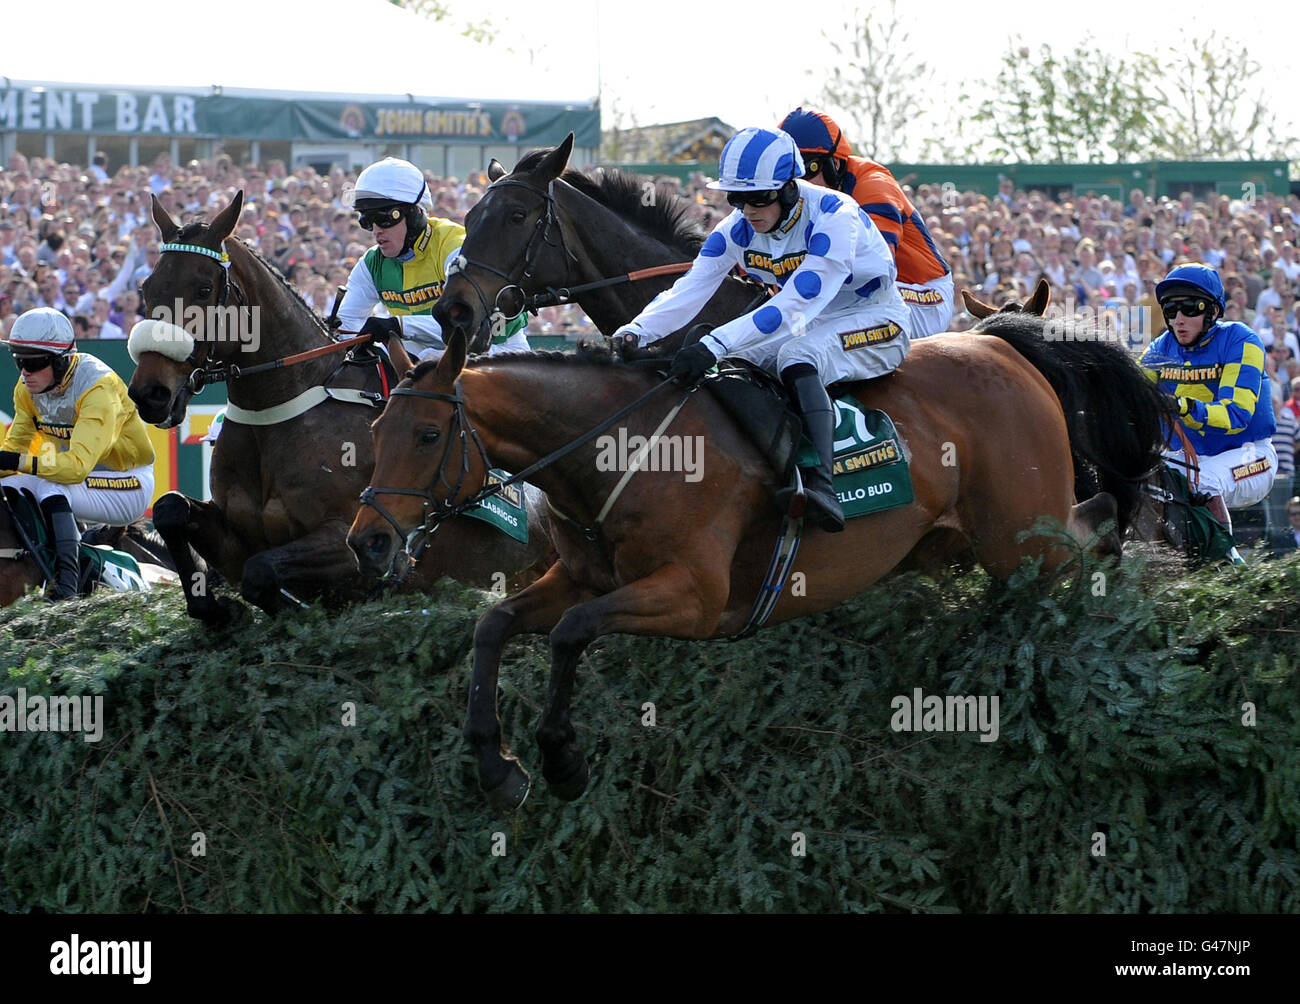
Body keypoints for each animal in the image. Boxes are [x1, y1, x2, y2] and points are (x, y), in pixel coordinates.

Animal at [130, 192, 553, 624]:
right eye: (147, 287)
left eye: (202, 289)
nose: (151, 393)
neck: (277, 413)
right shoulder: (239, 535)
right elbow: (170, 509)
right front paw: (215, 607)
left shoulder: (358, 541)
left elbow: (262, 572)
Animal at [345, 312, 1170, 806]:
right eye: (377, 427)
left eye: (427, 436)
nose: (368, 540)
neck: (617, 450)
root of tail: (1004, 343)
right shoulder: (578, 575)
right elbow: (494, 628)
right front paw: (497, 767)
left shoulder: (696, 598)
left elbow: (572, 633)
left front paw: (560, 761)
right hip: (977, 541)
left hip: (1023, 534)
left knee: (1097, 520)